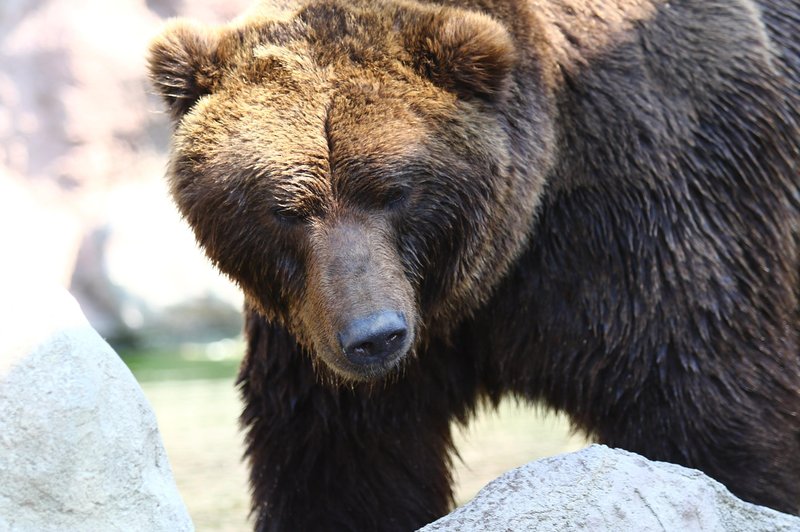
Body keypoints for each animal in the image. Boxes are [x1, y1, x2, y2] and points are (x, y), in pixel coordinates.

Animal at [148, 1, 800, 528]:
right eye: (285, 208)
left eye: (394, 190)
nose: (374, 336)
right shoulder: (319, 333)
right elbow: (344, 469)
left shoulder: (653, 220)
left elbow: (710, 416)